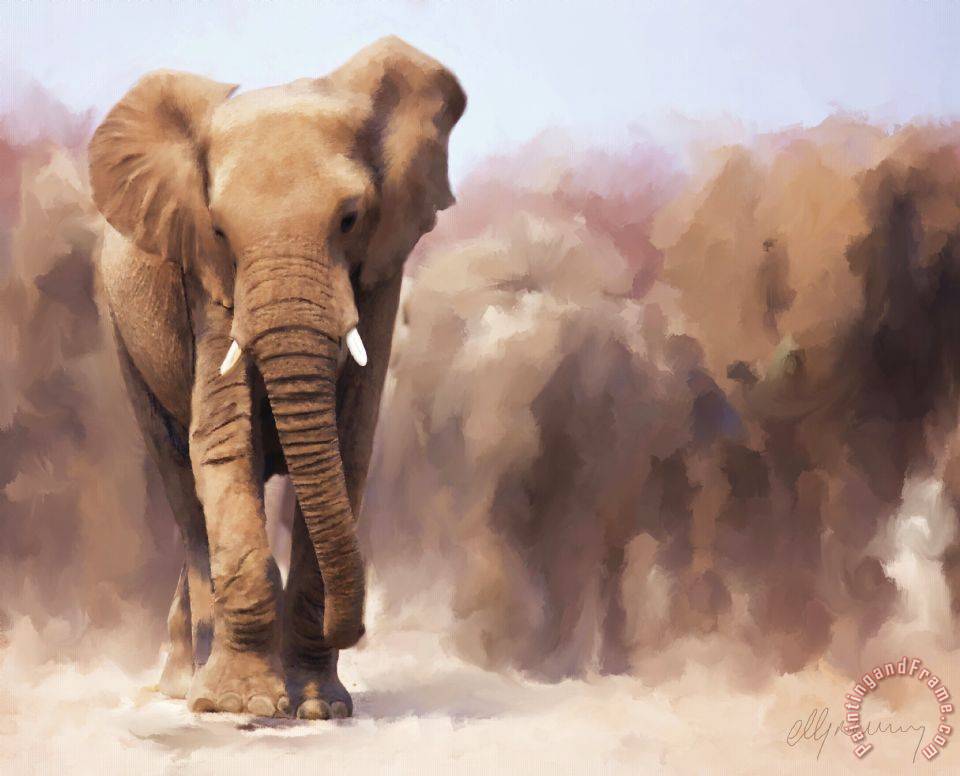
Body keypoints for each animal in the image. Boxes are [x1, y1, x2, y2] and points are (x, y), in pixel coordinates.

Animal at [88, 37, 465, 718]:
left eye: (350, 218)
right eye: (218, 230)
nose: (358, 627)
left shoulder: (380, 274)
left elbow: (349, 443)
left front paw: (318, 707)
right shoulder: (205, 279)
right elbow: (223, 440)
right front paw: (244, 707)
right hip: (121, 331)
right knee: (183, 490)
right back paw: (189, 687)